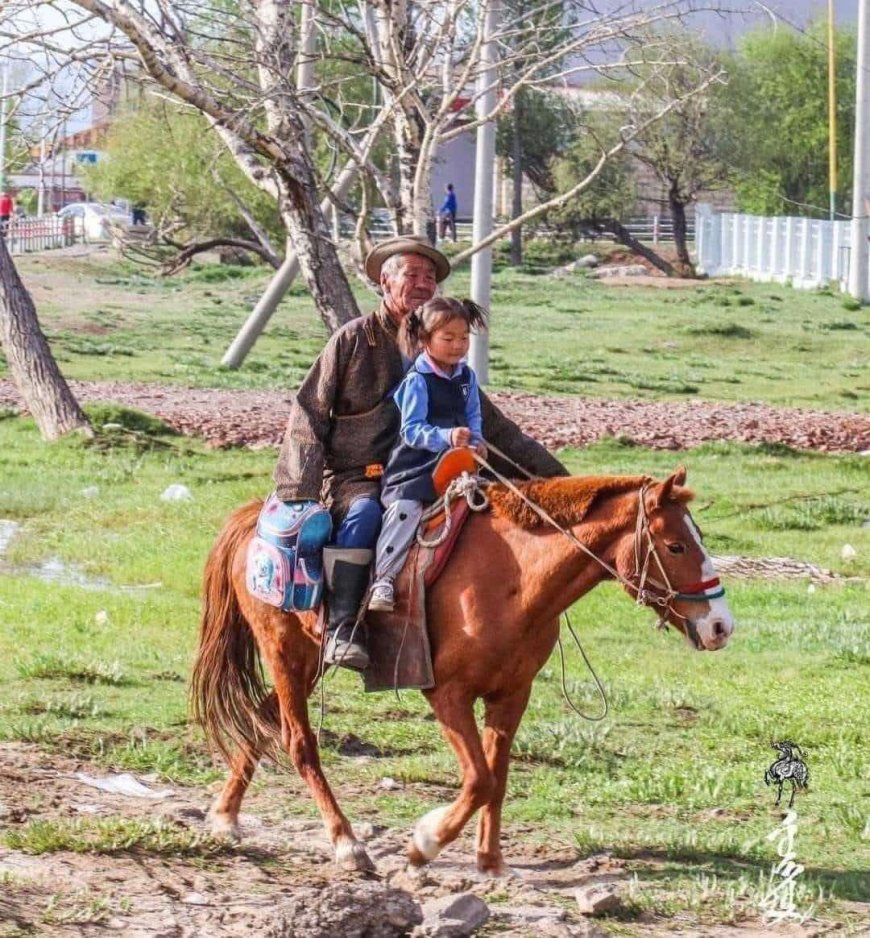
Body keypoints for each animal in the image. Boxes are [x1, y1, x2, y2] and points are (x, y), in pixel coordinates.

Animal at [192, 472, 736, 872]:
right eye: (676, 546)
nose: (720, 626)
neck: (514, 579)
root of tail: (251, 521)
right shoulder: (447, 693)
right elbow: (477, 779)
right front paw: (424, 844)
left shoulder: (511, 694)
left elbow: (498, 776)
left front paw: (490, 860)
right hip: (285, 653)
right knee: (298, 742)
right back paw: (347, 844)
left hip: (308, 662)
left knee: (264, 720)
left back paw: (225, 815)